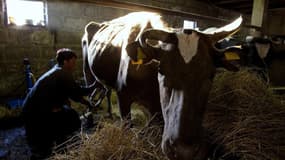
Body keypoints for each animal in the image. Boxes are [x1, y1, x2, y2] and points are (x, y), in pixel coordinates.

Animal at [81, 11, 241, 160]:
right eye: (161, 70)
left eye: (211, 74)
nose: (184, 151)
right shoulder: (123, 97)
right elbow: (126, 127)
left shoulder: (156, 109)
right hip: (87, 71)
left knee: (107, 91)